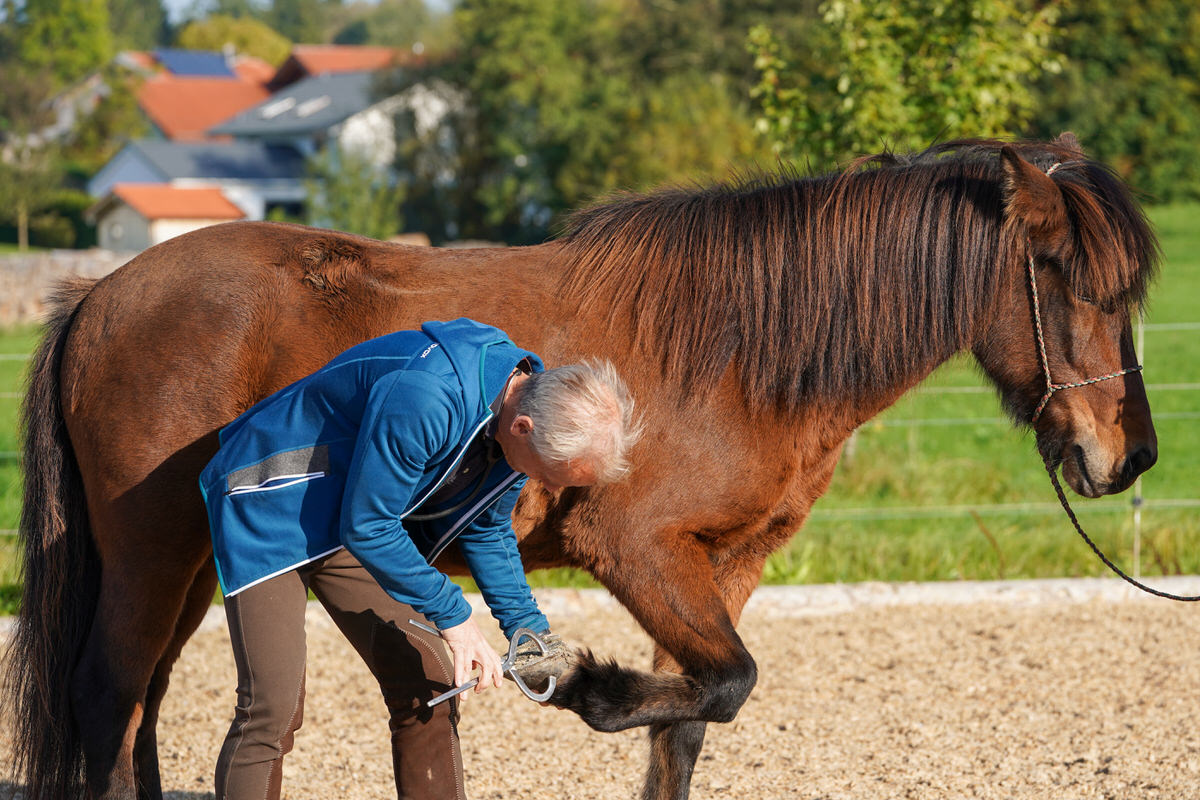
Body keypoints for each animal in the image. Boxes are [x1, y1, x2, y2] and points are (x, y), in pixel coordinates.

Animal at [4, 137, 1156, 800]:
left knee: (141, 711)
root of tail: (100, 293)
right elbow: (723, 683)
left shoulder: (725, 564)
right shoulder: (637, 549)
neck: (741, 347)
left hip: (201, 567)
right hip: (155, 561)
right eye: (1070, 278)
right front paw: (587, 685)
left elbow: (692, 718)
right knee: (108, 700)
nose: (1130, 454)